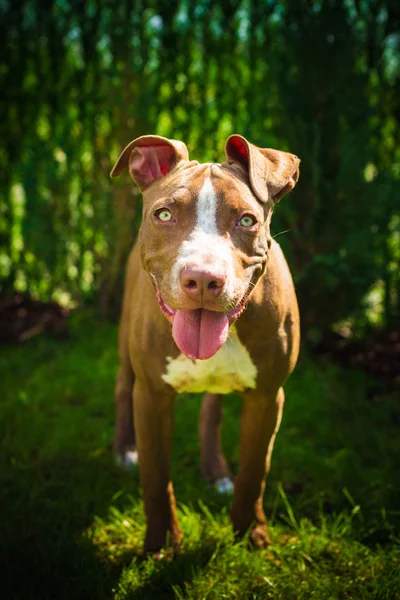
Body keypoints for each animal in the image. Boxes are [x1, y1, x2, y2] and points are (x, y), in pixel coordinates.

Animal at [109, 135, 300, 552]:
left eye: (247, 220)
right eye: (164, 214)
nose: (202, 279)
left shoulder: (268, 397)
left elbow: (254, 471)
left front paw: (251, 532)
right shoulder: (151, 395)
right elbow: (156, 478)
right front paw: (161, 544)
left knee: (210, 412)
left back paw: (216, 471)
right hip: (127, 345)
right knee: (122, 386)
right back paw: (124, 449)